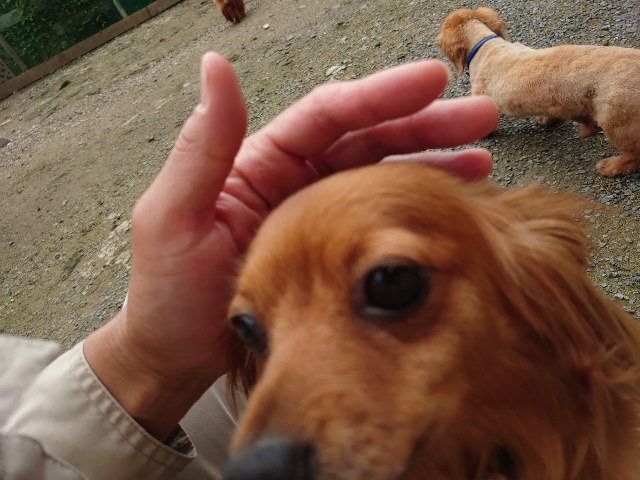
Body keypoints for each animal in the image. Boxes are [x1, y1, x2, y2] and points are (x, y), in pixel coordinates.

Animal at [436, 7, 640, 177]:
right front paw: (547, 120)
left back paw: (611, 167)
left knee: (633, 154)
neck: (485, 46)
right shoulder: (555, 101)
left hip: (615, 121)